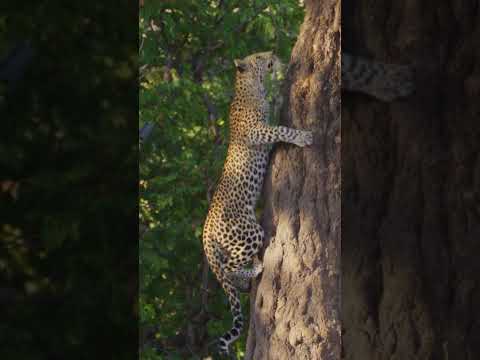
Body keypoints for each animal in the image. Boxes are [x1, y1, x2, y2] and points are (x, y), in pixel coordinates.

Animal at [201, 50, 314, 354]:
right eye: (260, 57)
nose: (272, 53)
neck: (249, 87)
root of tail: (205, 232)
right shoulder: (256, 130)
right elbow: (281, 129)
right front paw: (303, 136)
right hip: (248, 233)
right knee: (229, 270)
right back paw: (257, 267)